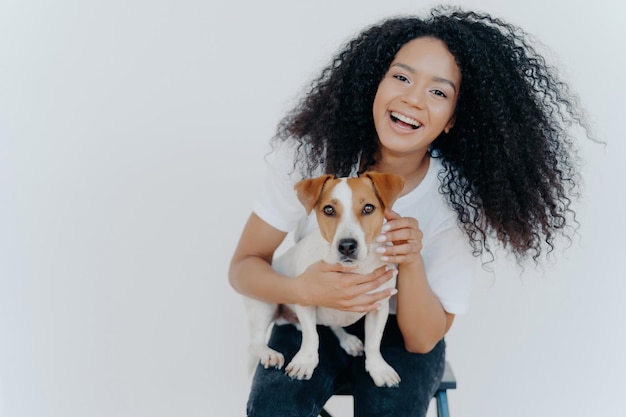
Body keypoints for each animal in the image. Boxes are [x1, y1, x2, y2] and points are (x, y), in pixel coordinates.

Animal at [244, 171, 404, 386]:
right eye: (329, 210)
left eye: (368, 208)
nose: (347, 246)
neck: (353, 271)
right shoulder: (305, 298)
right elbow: (312, 336)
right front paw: (305, 362)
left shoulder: (380, 306)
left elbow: (374, 342)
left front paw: (379, 369)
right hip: (264, 304)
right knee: (255, 343)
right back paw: (268, 354)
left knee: (333, 325)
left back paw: (347, 340)